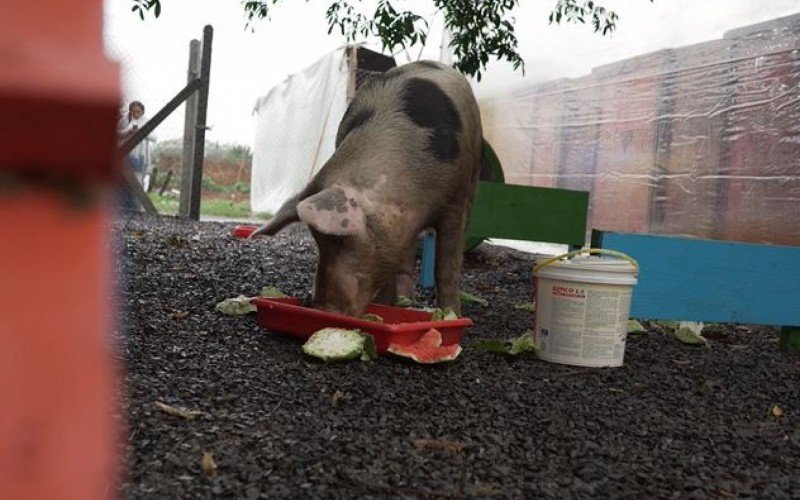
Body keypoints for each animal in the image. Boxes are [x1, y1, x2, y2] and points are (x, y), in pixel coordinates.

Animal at [252, 59, 482, 316]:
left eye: (344, 239)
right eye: (318, 241)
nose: (322, 307)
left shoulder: (455, 201)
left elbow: (446, 267)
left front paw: (451, 315)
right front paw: (385, 307)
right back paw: (405, 300)